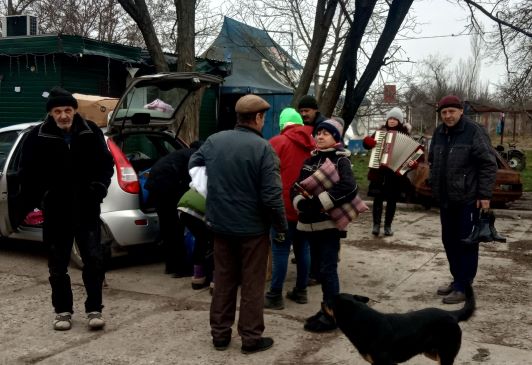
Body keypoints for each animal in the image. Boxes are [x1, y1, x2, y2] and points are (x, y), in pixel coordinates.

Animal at [330, 286, 476, 362]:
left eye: (329, 302)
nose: (324, 299)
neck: (365, 322)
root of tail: (452, 314)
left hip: (446, 353)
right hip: (433, 353)